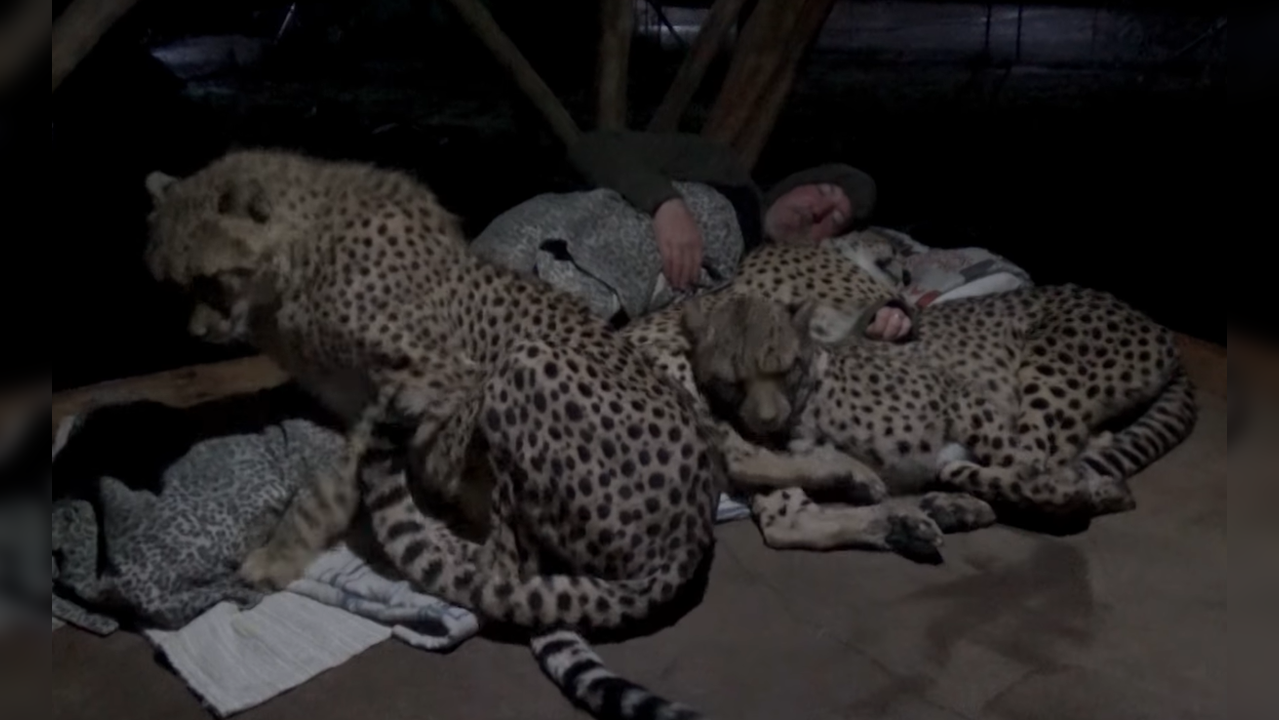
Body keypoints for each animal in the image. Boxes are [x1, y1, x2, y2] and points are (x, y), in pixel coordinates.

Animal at [145, 150, 726, 720]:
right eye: (175, 285)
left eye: (211, 279)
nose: (198, 333)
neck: (301, 256)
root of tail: (690, 539)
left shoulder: (435, 376)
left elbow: (338, 482)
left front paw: (277, 555)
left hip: (526, 360)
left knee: (506, 564)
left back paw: (447, 543)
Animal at [680, 285, 1197, 537]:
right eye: (730, 381)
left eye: (783, 368)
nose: (766, 421)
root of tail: (1157, 325)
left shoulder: (960, 395)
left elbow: (1025, 468)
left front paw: (1078, 491)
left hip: (1051, 366)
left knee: (1041, 451)